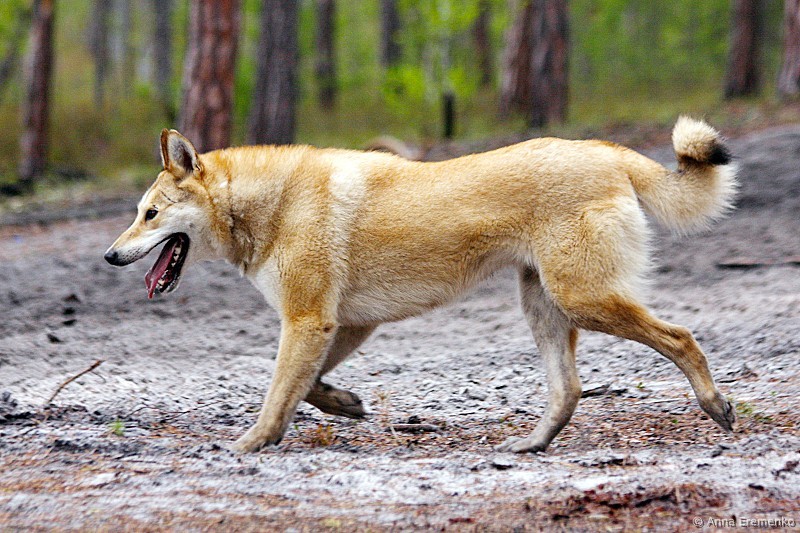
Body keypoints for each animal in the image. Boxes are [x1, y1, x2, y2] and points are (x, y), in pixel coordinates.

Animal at [105, 117, 738, 453]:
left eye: (151, 214)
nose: (111, 256)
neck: (272, 205)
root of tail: (608, 153)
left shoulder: (308, 322)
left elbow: (277, 395)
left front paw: (250, 444)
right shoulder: (343, 324)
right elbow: (307, 388)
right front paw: (343, 403)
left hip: (585, 300)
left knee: (682, 338)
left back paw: (716, 408)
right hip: (546, 307)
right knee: (570, 391)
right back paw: (530, 445)